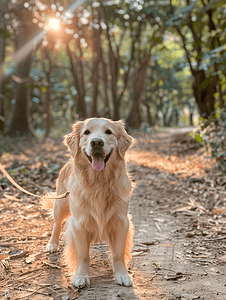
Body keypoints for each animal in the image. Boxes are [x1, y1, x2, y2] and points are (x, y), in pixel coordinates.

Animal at [42, 117, 134, 288]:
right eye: (86, 132)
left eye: (108, 132)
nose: (96, 142)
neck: (99, 184)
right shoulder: (79, 223)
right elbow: (83, 254)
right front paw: (81, 276)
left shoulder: (121, 221)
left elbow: (118, 254)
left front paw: (122, 274)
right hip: (61, 204)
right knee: (57, 224)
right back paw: (52, 244)